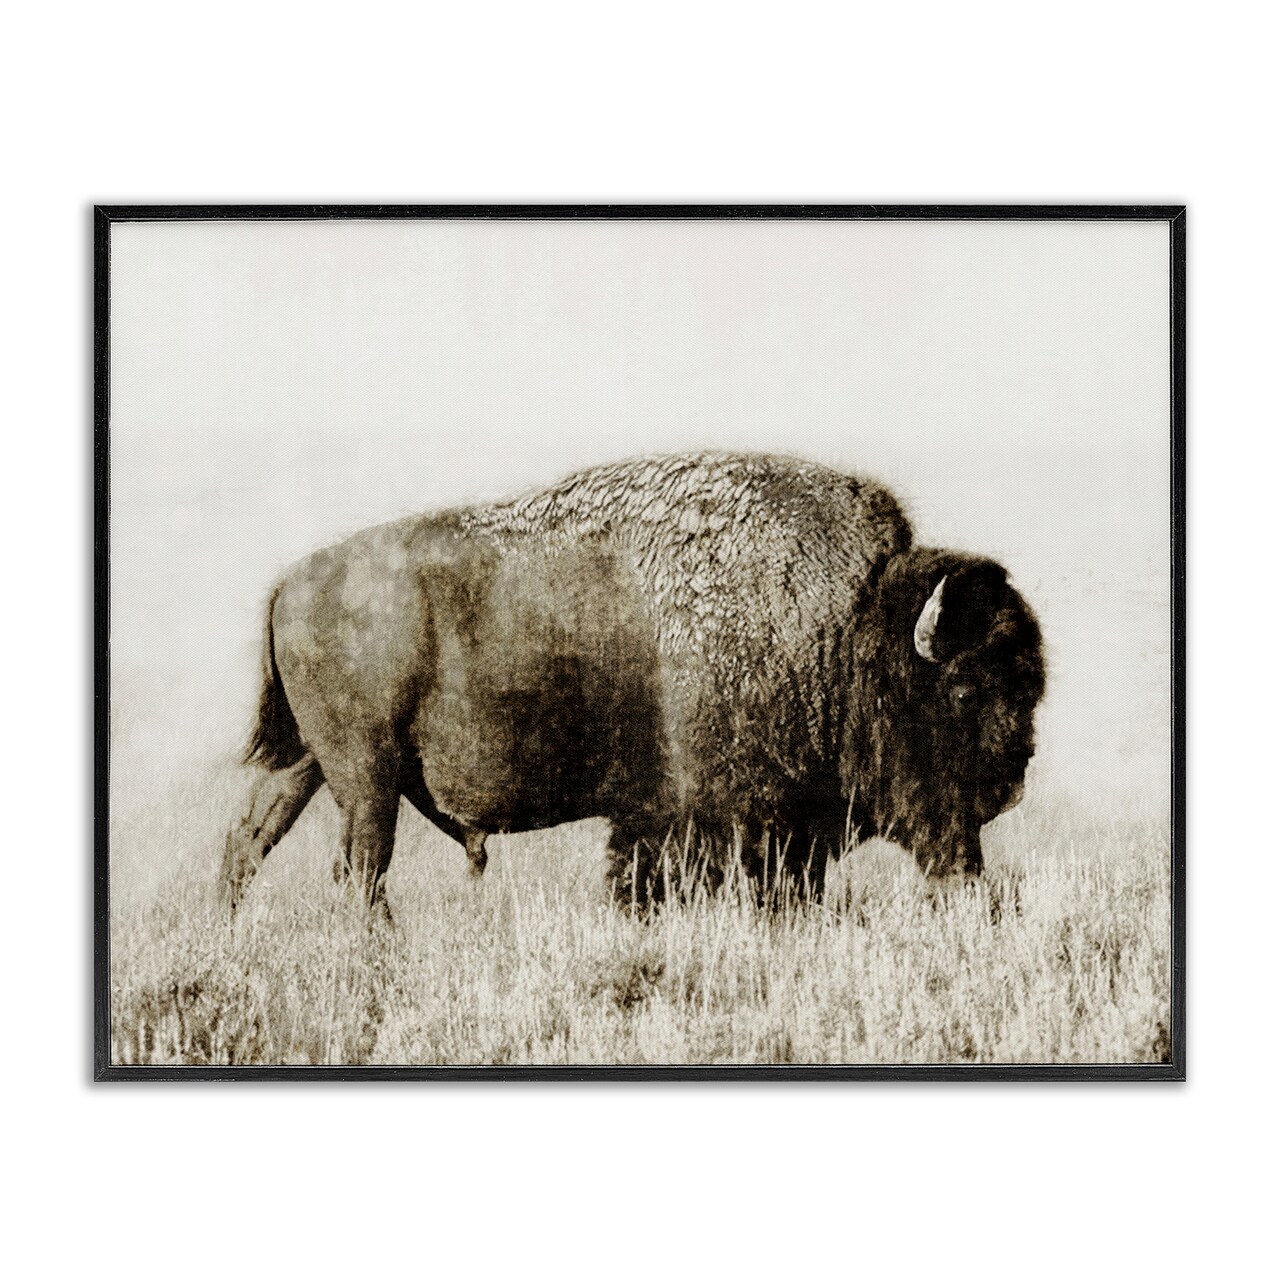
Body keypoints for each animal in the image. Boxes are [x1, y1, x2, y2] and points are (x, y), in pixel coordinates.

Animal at [222, 451, 1044, 913]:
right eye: (964, 692)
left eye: (1029, 688)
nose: (1009, 783)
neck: (847, 624)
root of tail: (290, 582)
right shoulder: (714, 824)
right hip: (367, 774)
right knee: (360, 869)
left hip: (309, 765)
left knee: (248, 845)